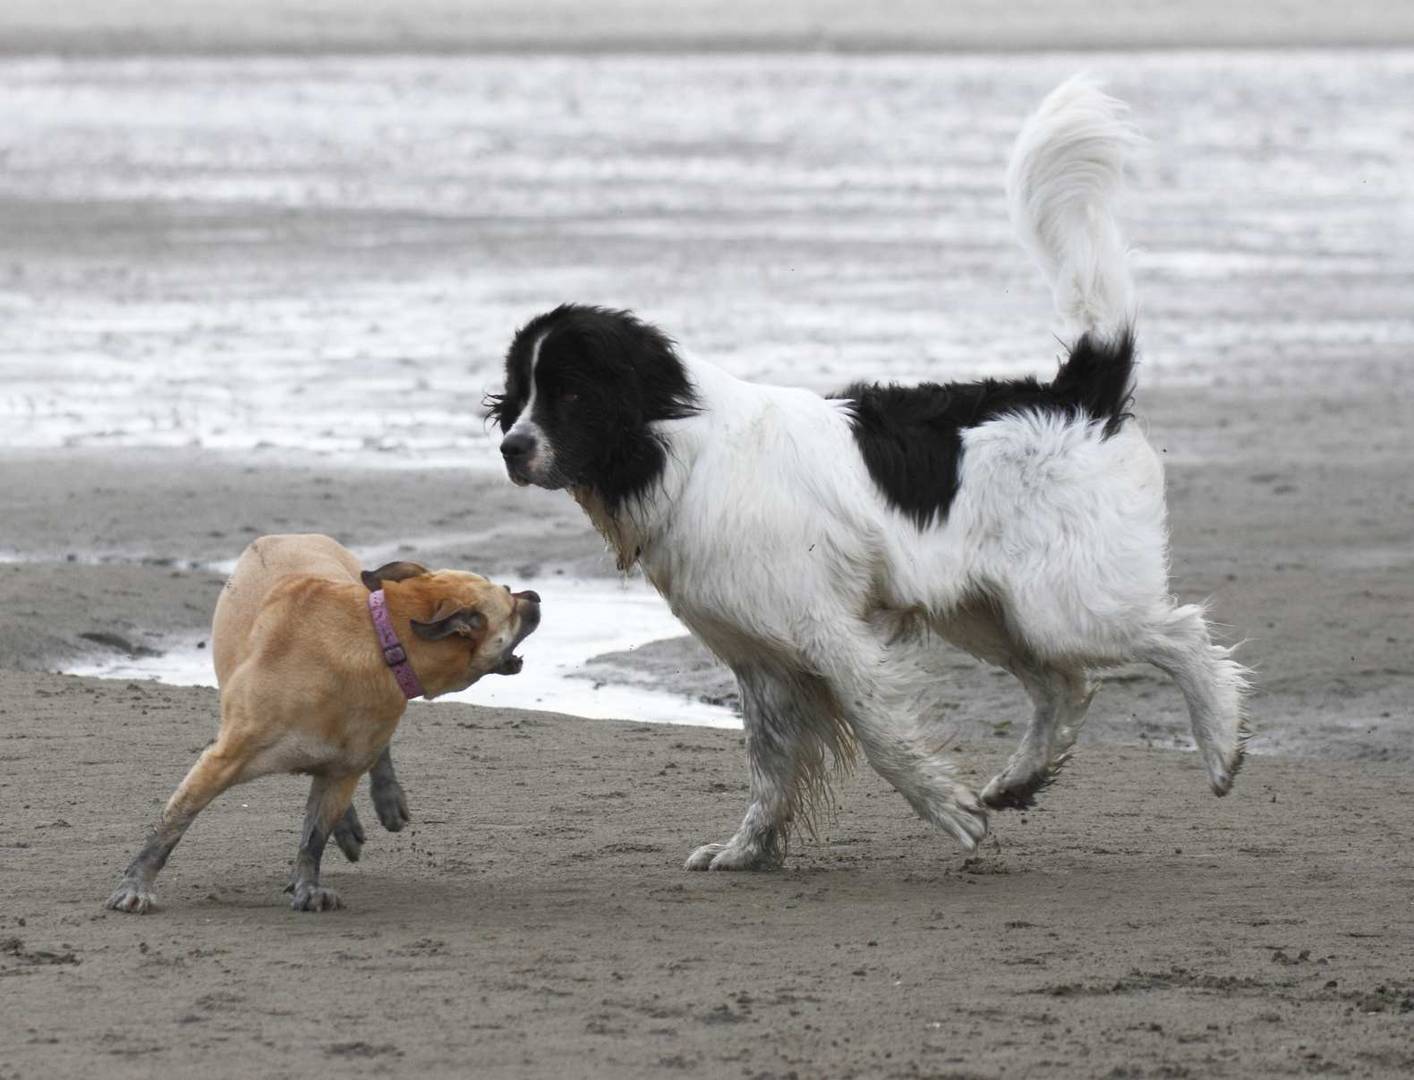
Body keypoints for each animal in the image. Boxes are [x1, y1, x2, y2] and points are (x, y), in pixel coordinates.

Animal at [106, 537, 540, 916]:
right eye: (509, 599)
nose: (535, 596)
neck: (381, 641)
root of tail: (286, 535)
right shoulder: (221, 761)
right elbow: (172, 824)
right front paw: (134, 886)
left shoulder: (346, 769)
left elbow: (314, 837)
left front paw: (308, 886)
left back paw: (380, 800)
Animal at [486, 75, 1249, 870]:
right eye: (519, 392)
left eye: (571, 394)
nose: (511, 447)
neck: (678, 445)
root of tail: (1076, 392)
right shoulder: (760, 659)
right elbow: (768, 764)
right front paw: (747, 849)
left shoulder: (829, 631)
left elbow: (880, 736)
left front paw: (947, 811)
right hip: (989, 610)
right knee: (1062, 687)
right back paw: (1020, 779)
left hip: (1065, 601)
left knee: (1181, 635)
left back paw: (1220, 743)